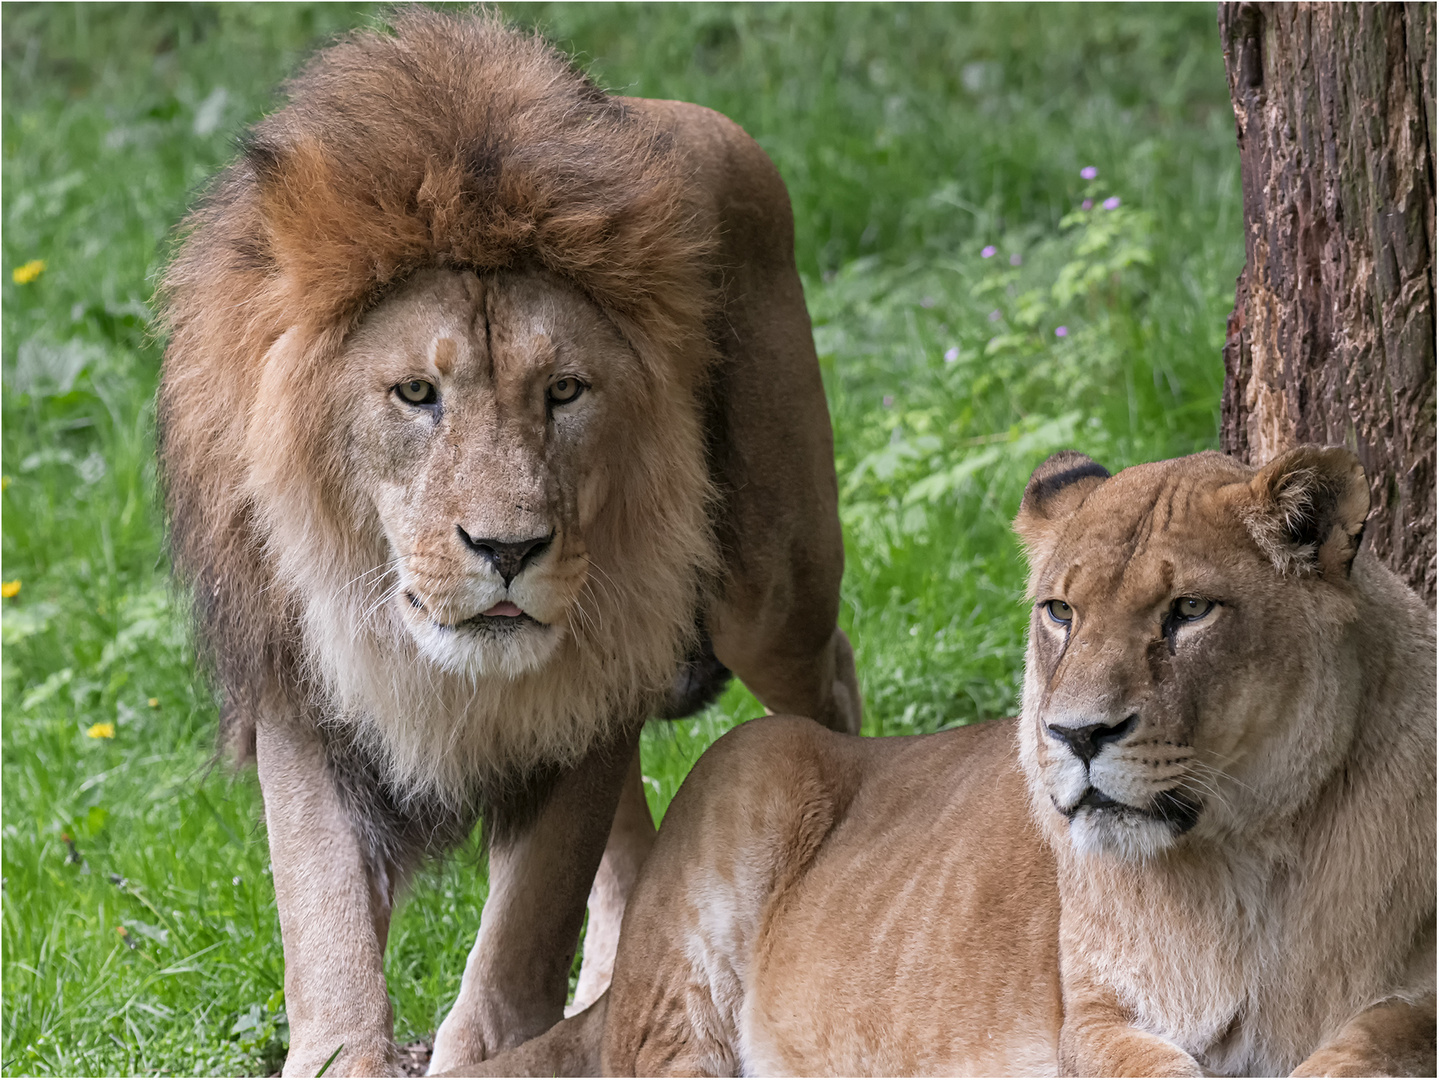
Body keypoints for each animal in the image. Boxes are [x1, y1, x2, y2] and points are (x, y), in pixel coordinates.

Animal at [159, 10, 857, 1080]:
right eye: (416, 393)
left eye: (563, 391)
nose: (509, 550)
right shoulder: (298, 685)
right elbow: (325, 926)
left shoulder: (601, 657)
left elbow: (525, 921)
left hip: (768, 596)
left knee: (831, 684)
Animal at [477, 442, 1433, 1075]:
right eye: (1060, 613)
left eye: (1189, 611)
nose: (1076, 735)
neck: (1247, 860)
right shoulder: (1091, 1017)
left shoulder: (1415, 994)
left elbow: (1366, 1040)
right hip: (750, 772)